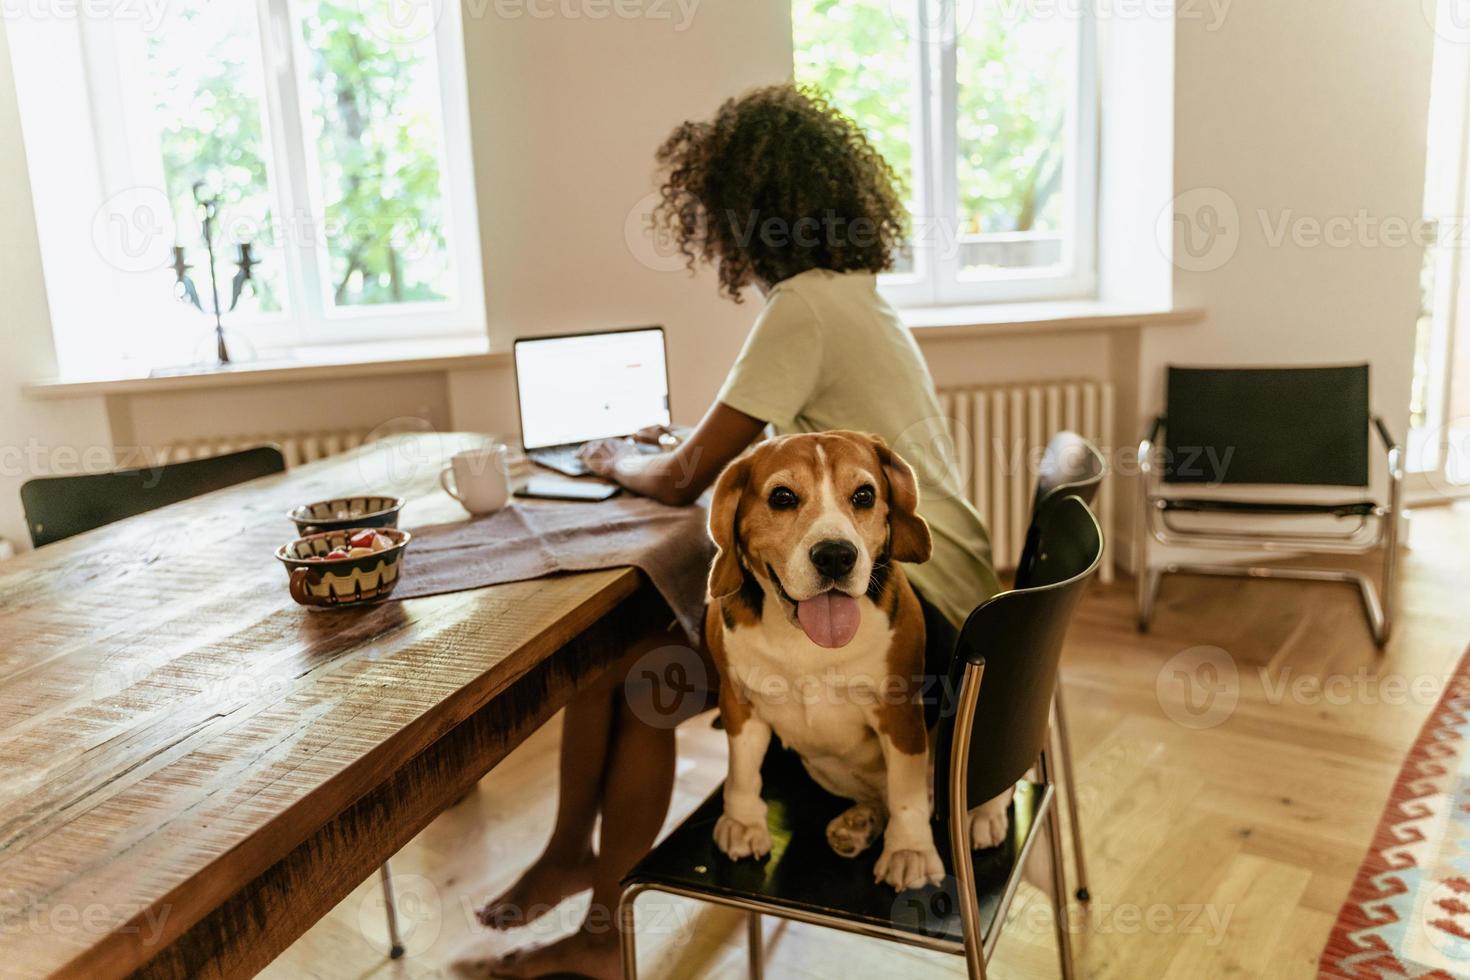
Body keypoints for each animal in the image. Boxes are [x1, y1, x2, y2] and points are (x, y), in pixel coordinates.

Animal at [705, 429, 1017, 887]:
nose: (836, 555)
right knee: (883, 797)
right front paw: (743, 822)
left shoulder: (898, 714)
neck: (803, 639)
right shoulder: (738, 701)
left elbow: (907, 793)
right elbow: (742, 769)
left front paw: (909, 850)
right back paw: (860, 823)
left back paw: (982, 815)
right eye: (782, 497)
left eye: (865, 495)